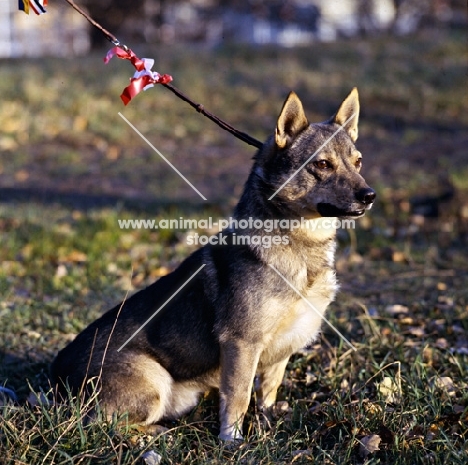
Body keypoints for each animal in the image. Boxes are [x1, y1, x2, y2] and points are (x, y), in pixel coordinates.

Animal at [49, 89, 374, 440]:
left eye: (358, 162)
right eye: (323, 164)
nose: (370, 195)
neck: (298, 244)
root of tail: (56, 379)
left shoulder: (281, 352)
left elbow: (268, 393)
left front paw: (266, 430)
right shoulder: (241, 344)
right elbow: (239, 396)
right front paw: (232, 441)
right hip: (153, 380)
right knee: (106, 424)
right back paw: (159, 431)